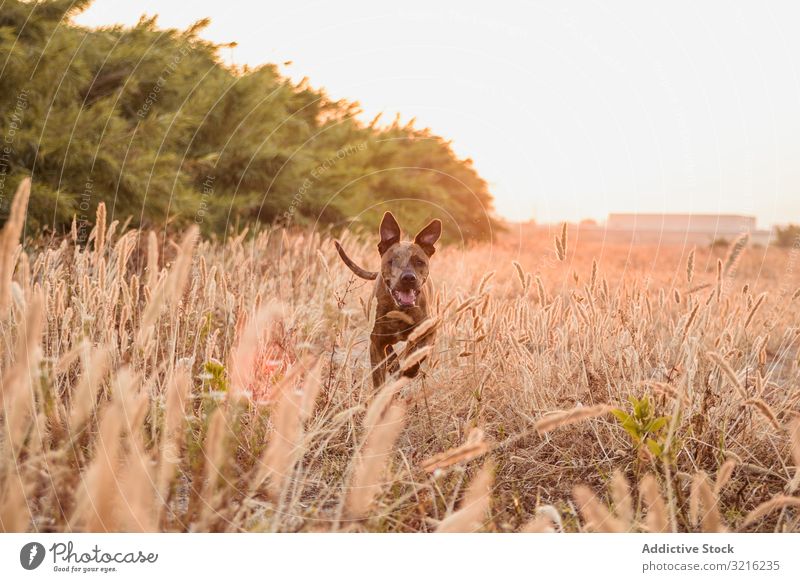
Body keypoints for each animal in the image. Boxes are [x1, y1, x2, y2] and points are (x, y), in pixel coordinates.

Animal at [332, 213, 444, 388]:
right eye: (392, 261)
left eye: (419, 262)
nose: (408, 278)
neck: (400, 310)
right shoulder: (376, 343)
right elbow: (379, 378)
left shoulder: (430, 330)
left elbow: (418, 353)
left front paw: (410, 369)